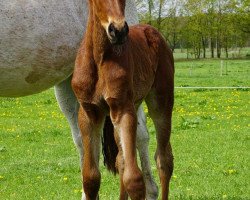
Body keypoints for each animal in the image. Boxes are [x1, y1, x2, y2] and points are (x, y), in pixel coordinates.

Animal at [72, 0, 174, 198]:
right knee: (121, 160)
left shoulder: (123, 109)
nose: (118, 30)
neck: (100, 59)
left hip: (161, 102)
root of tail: (153, 30)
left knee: (164, 159)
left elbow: (134, 179)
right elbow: (90, 178)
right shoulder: (89, 113)